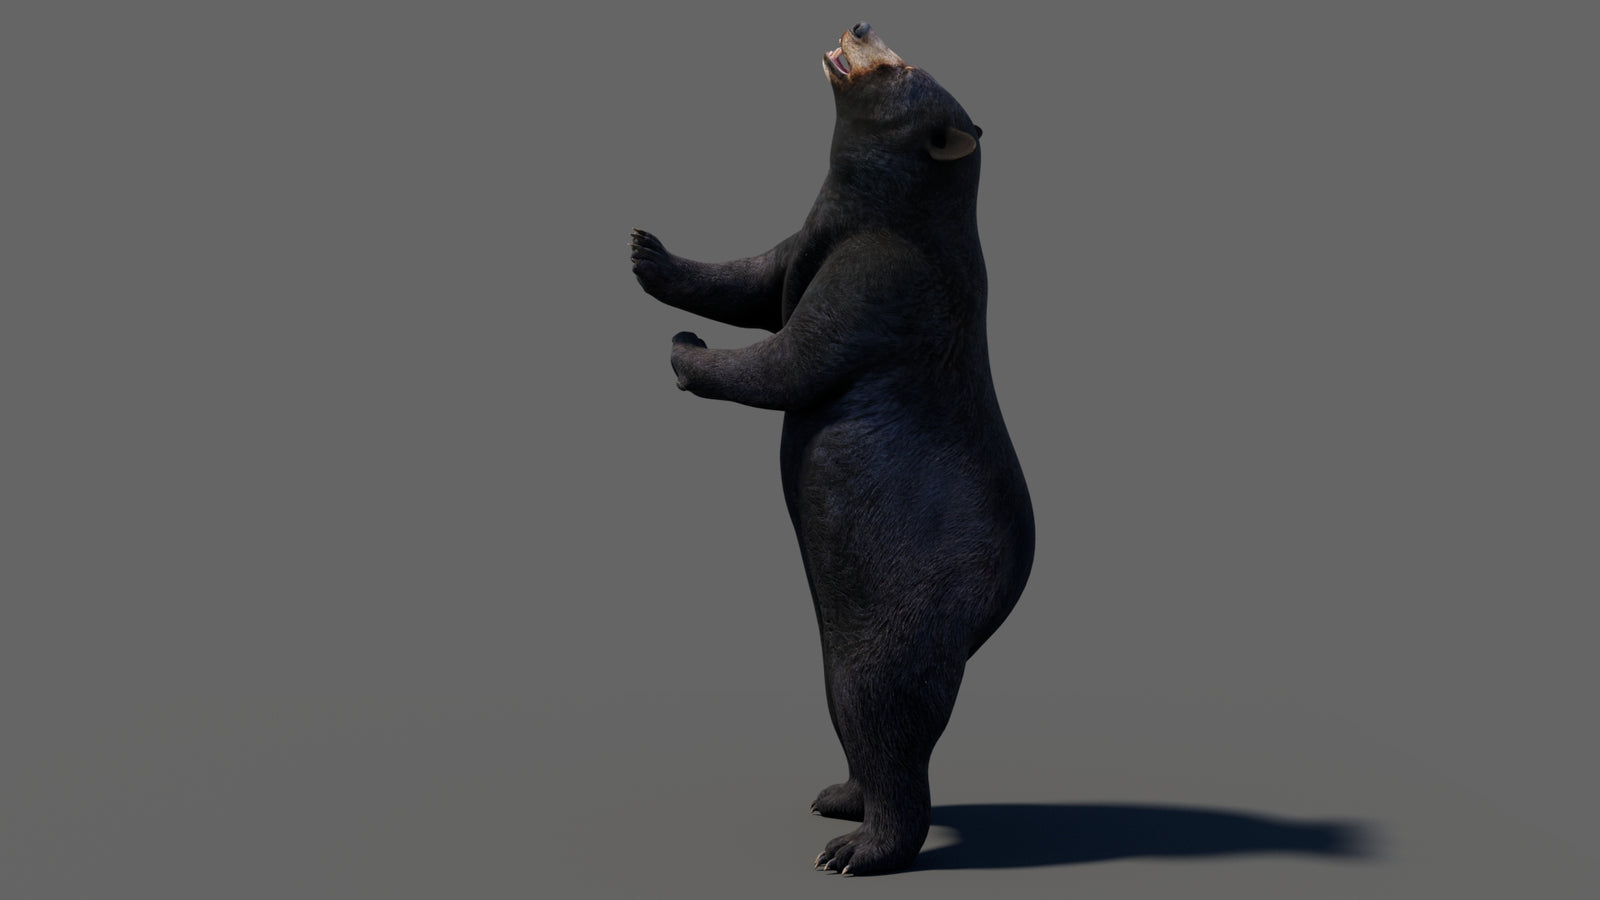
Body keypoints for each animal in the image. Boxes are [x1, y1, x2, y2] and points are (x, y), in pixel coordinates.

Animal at [629, 22, 1034, 876]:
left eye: (902, 68)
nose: (860, 24)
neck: (877, 210)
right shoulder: (809, 241)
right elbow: (752, 279)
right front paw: (648, 250)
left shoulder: (882, 274)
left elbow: (794, 355)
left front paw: (686, 351)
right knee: (858, 721)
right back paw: (838, 797)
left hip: (902, 617)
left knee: (885, 715)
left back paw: (858, 849)